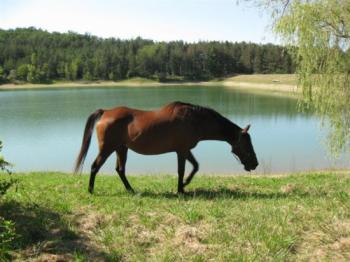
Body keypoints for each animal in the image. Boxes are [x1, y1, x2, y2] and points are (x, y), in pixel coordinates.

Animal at [74, 101, 258, 193]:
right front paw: (181, 189)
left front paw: (184, 185)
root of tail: (106, 112)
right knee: (95, 167)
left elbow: (195, 166)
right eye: (247, 144)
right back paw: (90, 190)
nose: (254, 164)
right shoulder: (181, 151)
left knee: (120, 170)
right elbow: (182, 170)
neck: (194, 120)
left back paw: (131, 190)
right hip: (107, 148)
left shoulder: (185, 150)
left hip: (121, 148)